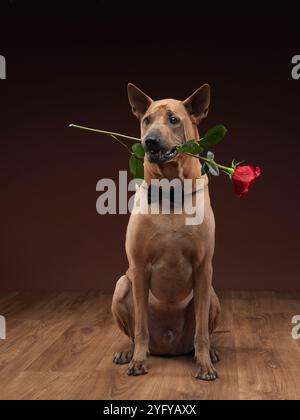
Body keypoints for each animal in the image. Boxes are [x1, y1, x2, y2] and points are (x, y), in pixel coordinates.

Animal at [111, 82, 221, 380]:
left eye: (173, 119)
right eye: (146, 120)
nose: (149, 141)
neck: (171, 192)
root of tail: (169, 347)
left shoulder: (203, 267)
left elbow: (202, 334)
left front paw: (204, 364)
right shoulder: (138, 268)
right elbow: (140, 329)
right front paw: (138, 361)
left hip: (212, 294)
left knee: (203, 332)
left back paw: (210, 354)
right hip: (121, 285)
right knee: (135, 334)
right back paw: (128, 352)